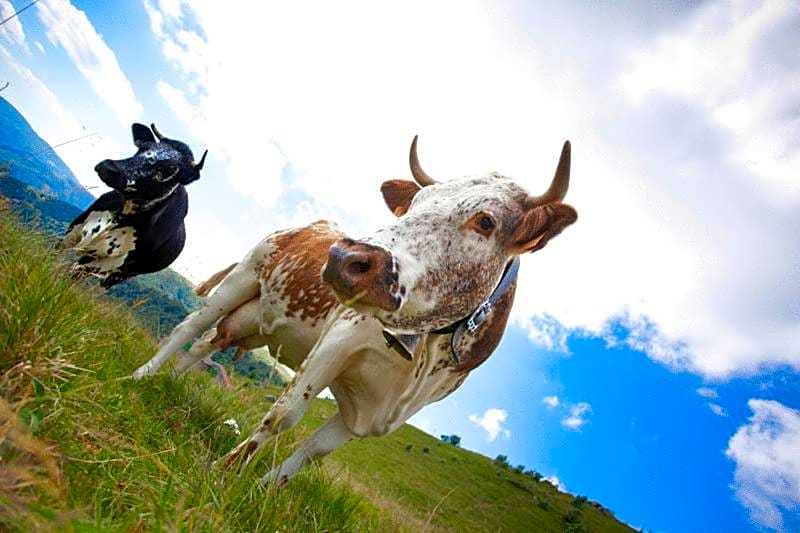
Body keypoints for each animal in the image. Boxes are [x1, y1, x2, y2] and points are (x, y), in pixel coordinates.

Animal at [61, 122, 208, 286]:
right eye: (142, 147)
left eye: (169, 168)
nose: (109, 168)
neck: (122, 215)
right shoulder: (75, 229)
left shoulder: (106, 261)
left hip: (122, 273)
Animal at [134, 137, 580, 486]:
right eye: (414, 203)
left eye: (486, 221)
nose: (345, 258)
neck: (420, 363)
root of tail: (313, 224)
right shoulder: (339, 341)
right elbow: (284, 416)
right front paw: (223, 474)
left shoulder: (374, 415)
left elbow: (313, 453)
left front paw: (262, 489)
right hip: (243, 278)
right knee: (189, 327)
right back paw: (142, 376)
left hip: (255, 321)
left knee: (207, 344)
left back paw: (169, 381)